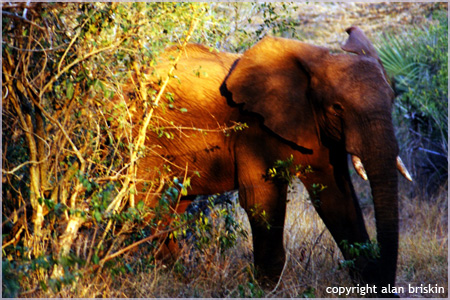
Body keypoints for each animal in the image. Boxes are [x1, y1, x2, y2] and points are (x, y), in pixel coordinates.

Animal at [122, 27, 412, 296]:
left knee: (171, 206)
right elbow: (261, 198)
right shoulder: (254, 129)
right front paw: (263, 290)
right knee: (144, 201)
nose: (391, 289)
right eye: (337, 108)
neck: (317, 63)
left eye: (392, 98)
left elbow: (338, 199)